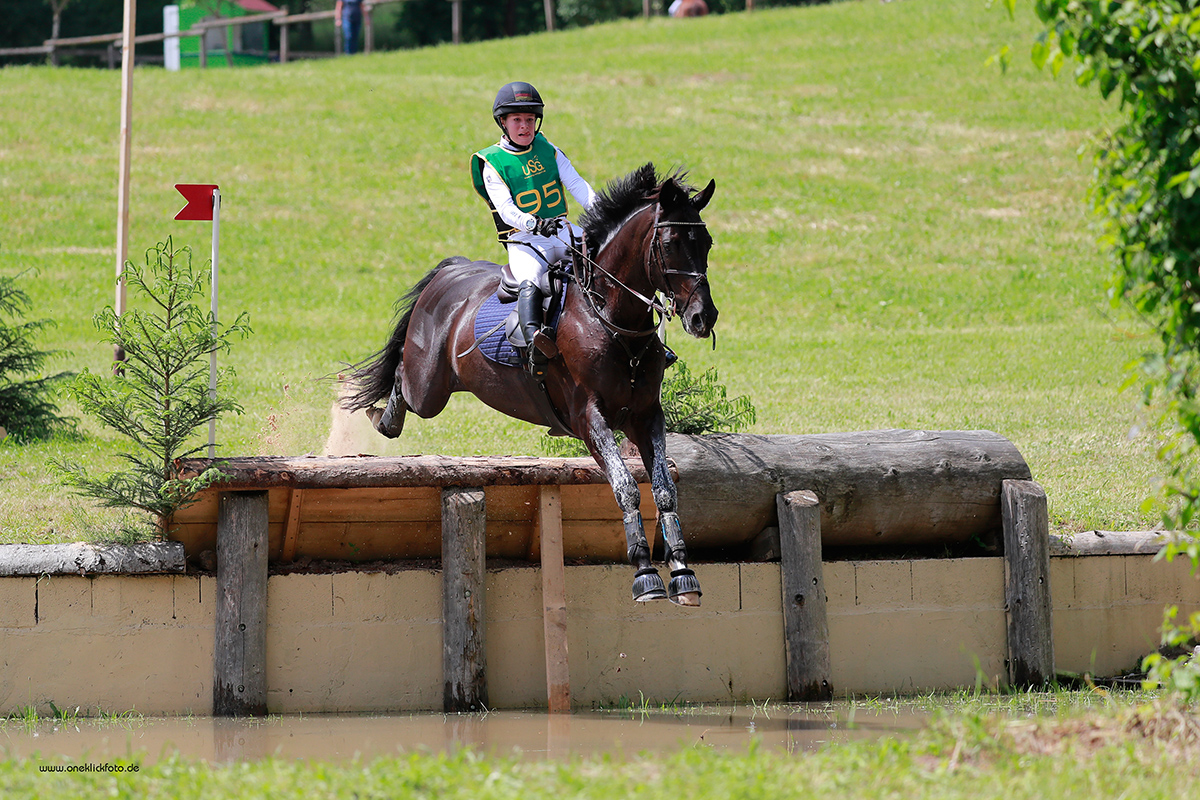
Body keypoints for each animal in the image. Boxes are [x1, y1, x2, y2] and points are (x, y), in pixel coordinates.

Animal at [348, 164, 720, 606]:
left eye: (706, 242)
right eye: (669, 243)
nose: (703, 317)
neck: (611, 320)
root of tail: (453, 269)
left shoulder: (646, 416)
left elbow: (663, 490)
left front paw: (682, 573)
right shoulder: (589, 419)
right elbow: (626, 487)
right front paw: (645, 575)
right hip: (429, 390)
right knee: (402, 378)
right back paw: (382, 419)